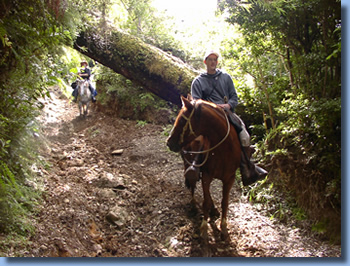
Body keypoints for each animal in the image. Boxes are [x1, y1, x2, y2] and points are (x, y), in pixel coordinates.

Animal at [166, 95, 242, 247]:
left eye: (182, 120)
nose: (169, 142)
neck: (224, 149)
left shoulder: (229, 178)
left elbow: (225, 202)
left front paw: (224, 230)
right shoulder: (207, 176)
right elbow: (205, 202)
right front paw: (204, 231)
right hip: (188, 164)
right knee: (191, 181)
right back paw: (194, 205)